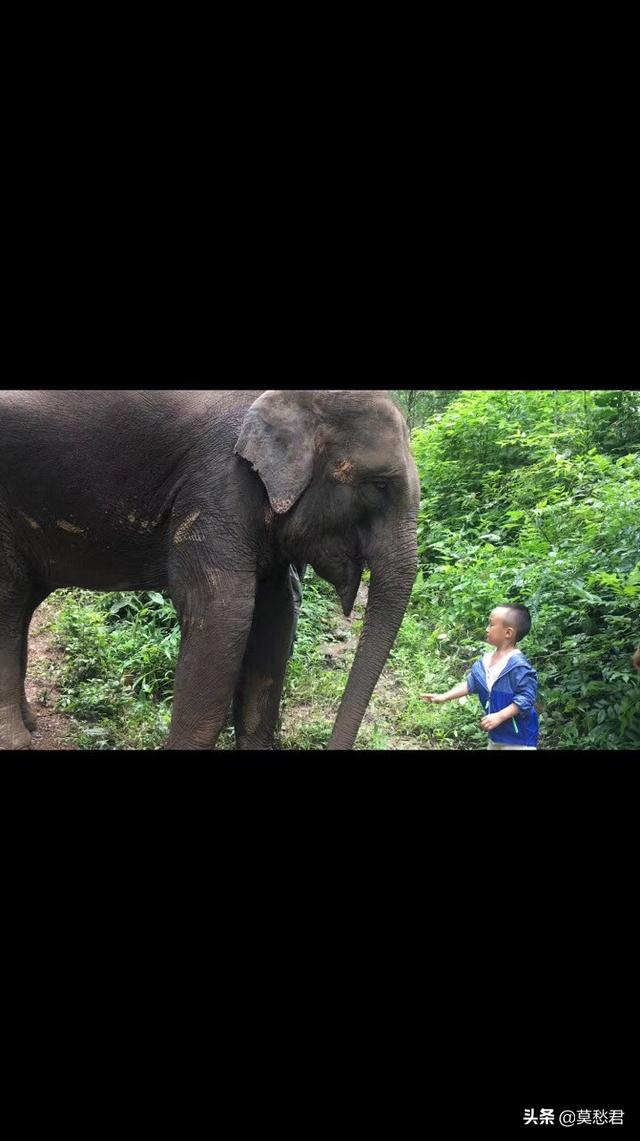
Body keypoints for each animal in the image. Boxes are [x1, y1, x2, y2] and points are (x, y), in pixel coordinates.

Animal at [1, 387, 419, 753]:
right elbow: (221, 615)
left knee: (22, 602)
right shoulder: (219, 483)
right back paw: (18, 740)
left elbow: (276, 614)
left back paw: (29, 724)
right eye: (379, 485)